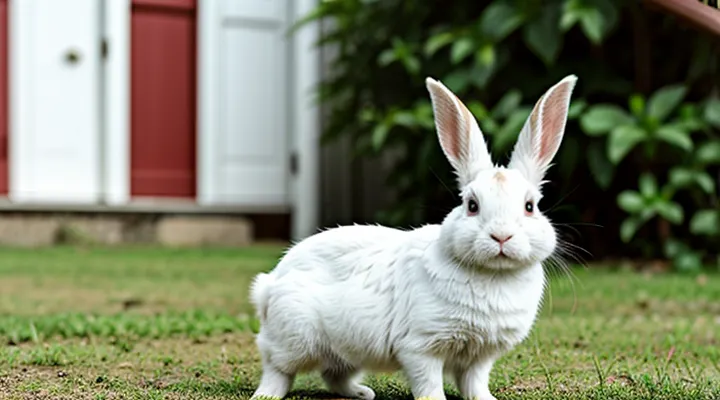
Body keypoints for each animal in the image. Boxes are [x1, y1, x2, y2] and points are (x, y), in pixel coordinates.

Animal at [249, 74, 578, 400]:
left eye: (530, 206)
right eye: (472, 205)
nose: (501, 236)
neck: (493, 275)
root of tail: (270, 283)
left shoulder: (479, 357)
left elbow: (474, 383)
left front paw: (485, 399)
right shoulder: (420, 347)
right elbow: (428, 383)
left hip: (345, 350)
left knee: (334, 375)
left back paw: (362, 393)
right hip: (294, 338)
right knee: (276, 367)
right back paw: (267, 395)